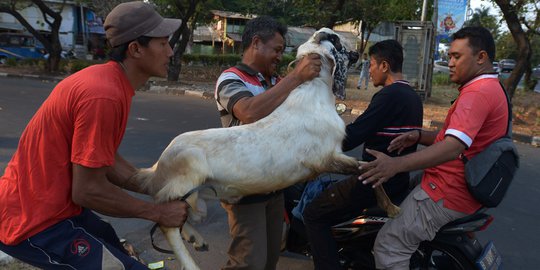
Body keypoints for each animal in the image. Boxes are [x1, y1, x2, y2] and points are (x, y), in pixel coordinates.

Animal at [133, 28, 398, 270]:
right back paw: (191, 263)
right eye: (336, 41)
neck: (314, 95)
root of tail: (159, 165)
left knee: (173, 211)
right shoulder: (325, 158)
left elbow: (366, 170)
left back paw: (196, 238)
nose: (356, 53)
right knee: (166, 221)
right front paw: (392, 208)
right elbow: (366, 170)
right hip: (189, 173)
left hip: (201, 192)